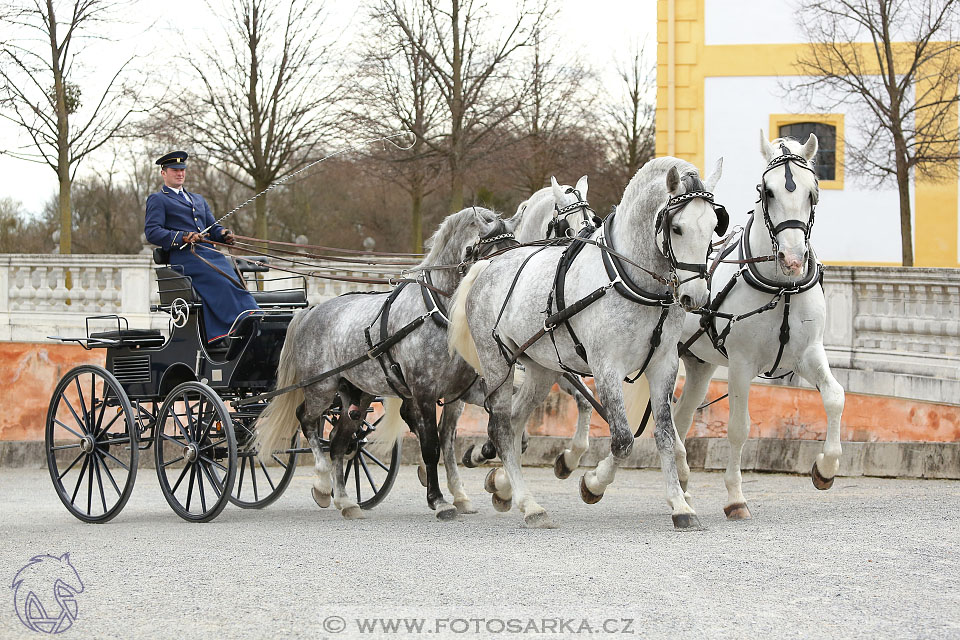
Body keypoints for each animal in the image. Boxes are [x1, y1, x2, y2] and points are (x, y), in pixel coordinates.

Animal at [452, 158, 728, 528]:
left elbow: (666, 436)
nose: (695, 296)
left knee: (513, 422)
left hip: (541, 369)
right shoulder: (605, 366)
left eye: (714, 225)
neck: (630, 278)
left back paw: (509, 489)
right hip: (499, 364)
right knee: (500, 428)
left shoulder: (664, 364)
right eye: (678, 228)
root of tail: (487, 266)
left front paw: (680, 506)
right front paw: (594, 482)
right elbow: (623, 439)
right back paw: (530, 505)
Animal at [672, 131, 844, 520]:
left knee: (678, 417)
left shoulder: (808, 354)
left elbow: (835, 397)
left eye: (812, 191)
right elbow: (739, 428)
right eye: (767, 191)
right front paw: (736, 497)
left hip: (699, 365)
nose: (793, 259)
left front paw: (825, 468)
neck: (782, 287)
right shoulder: (740, 363)